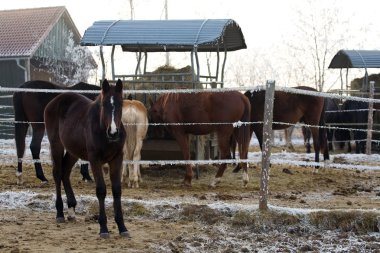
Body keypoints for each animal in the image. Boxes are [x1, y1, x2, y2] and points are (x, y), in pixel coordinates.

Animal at [44, 79, 129, 237]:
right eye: (104, 104)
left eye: (121, 104)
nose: (113, 132)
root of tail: (54, 101)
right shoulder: (95, 160)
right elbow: (101, 190)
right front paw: (103, 228)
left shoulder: (117, 159)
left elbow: (116, 190)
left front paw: (122, 227)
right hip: (56, 144)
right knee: (57, 173)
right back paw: (60, 213)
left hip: (73, 151)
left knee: (65, 172)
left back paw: (71, 210)